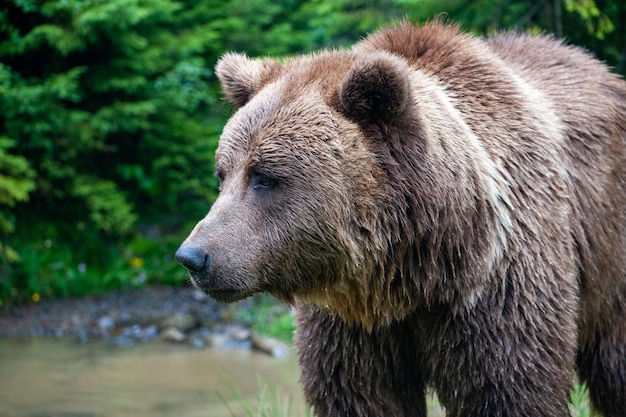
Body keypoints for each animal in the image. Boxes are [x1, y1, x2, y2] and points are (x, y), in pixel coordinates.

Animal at [176, 20, 624, 416]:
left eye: (265, 177)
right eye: (222, 174)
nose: (193, 256)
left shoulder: (498, 285)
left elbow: (509, 387)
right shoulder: (352, 326)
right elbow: (358, 395)